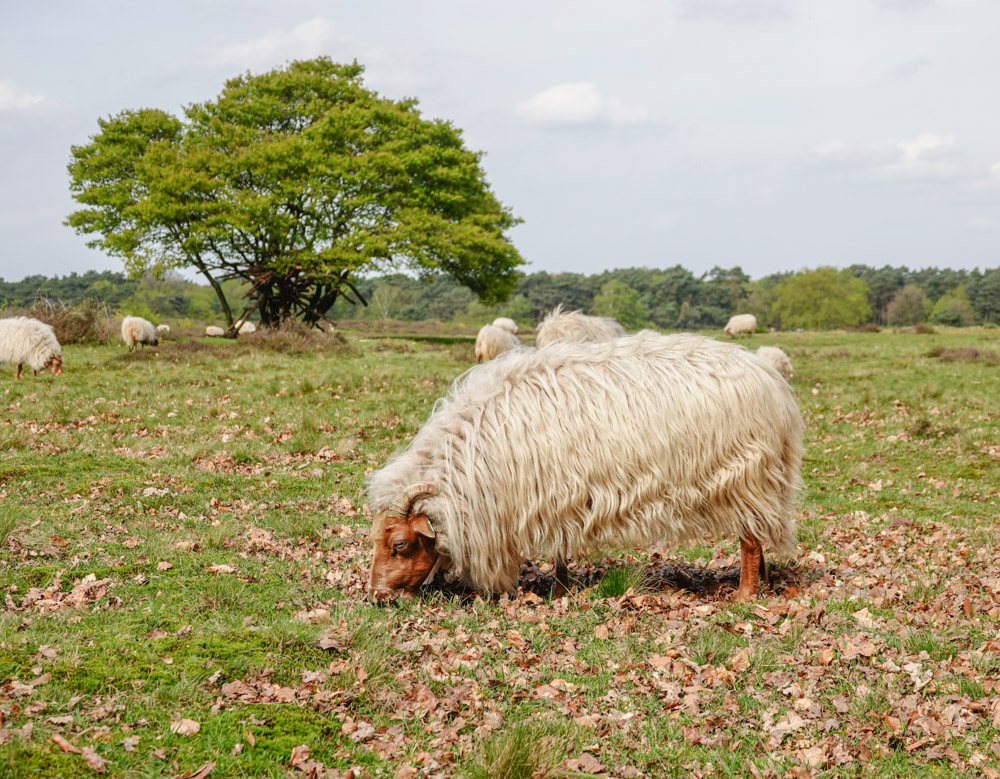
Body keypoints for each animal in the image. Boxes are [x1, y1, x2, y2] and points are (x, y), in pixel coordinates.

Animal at [368, 331, 803, 603]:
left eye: (400, 544)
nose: (375, 597)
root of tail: (770, 379)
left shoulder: (553, 492)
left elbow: (559, 548)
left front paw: (559, 591)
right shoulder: (559, 493)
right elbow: (561, 549)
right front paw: (562, 589)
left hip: (746, 477)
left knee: (750, 540)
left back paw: (745, 595)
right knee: (759, 535)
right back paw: (762, 582)